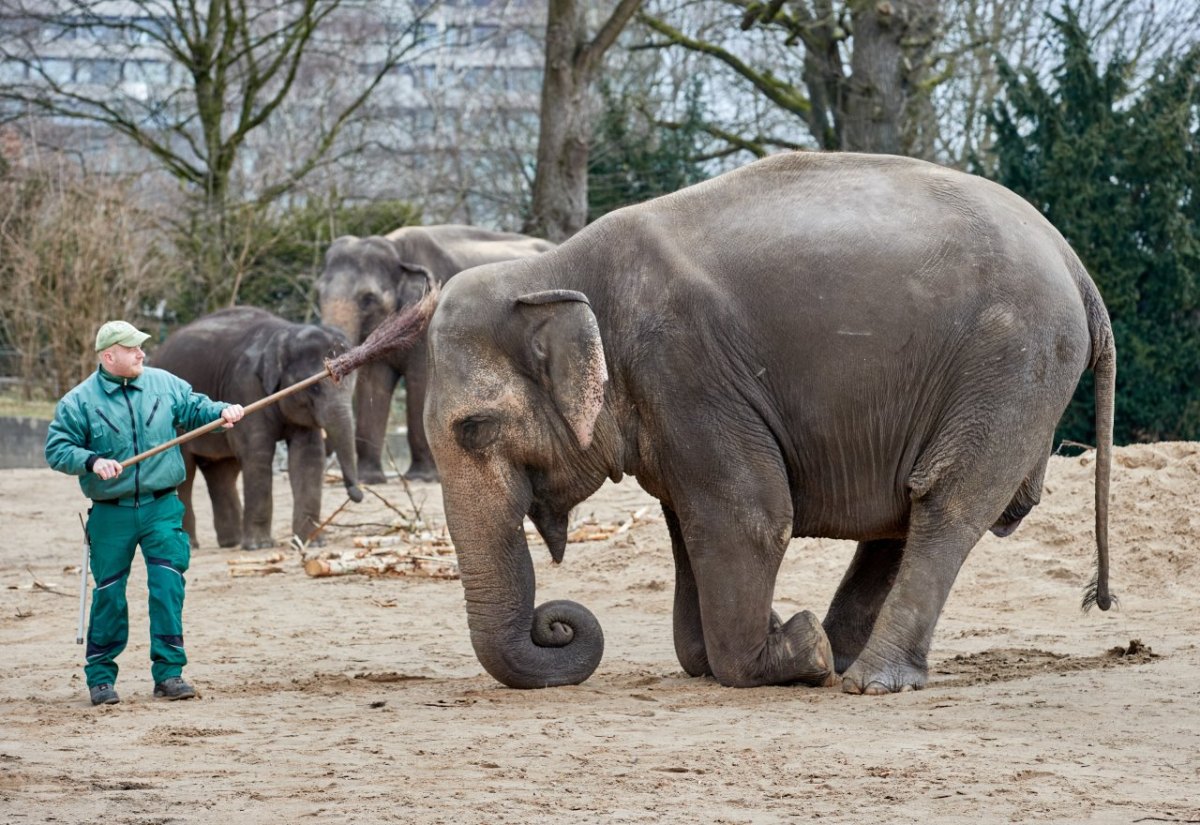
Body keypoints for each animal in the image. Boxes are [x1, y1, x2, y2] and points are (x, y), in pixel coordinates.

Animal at [152, 305, 362, 551]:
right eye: (314, 388)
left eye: (352, 386)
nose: (356, 494)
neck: (284, 333)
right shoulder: (245, 386)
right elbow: (257, 453)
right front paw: (259, 546)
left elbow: (308, 456)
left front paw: (312, 543)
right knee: (184, 472)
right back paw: (193, 544)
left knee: (222, 471)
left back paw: (231, 542)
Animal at [321, 225, 559, 484]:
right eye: (319, 292)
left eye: (368, 299)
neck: (396, 248)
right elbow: (373, 384)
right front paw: (369, 479)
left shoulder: (427, 325)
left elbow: (419, 382)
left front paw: (421, 477)